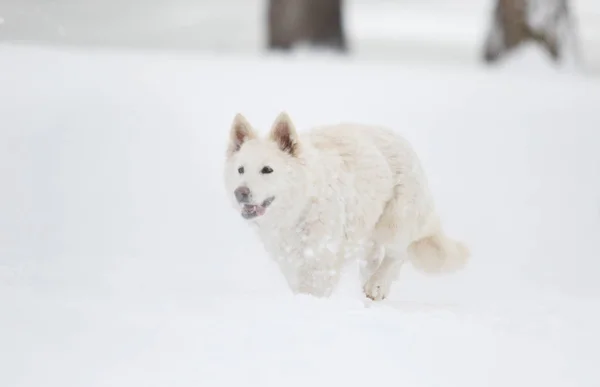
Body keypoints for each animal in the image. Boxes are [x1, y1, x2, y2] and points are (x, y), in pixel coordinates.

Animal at [224, 111, 468, 300]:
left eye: (267, 170)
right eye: (241, 170)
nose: (240, 193)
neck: (300, 208)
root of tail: (402, 141)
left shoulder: (321, 260)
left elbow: (314, 290)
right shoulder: (290, 261)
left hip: (394, 222)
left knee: (397, 254)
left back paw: (376, 285)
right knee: (375, 257)